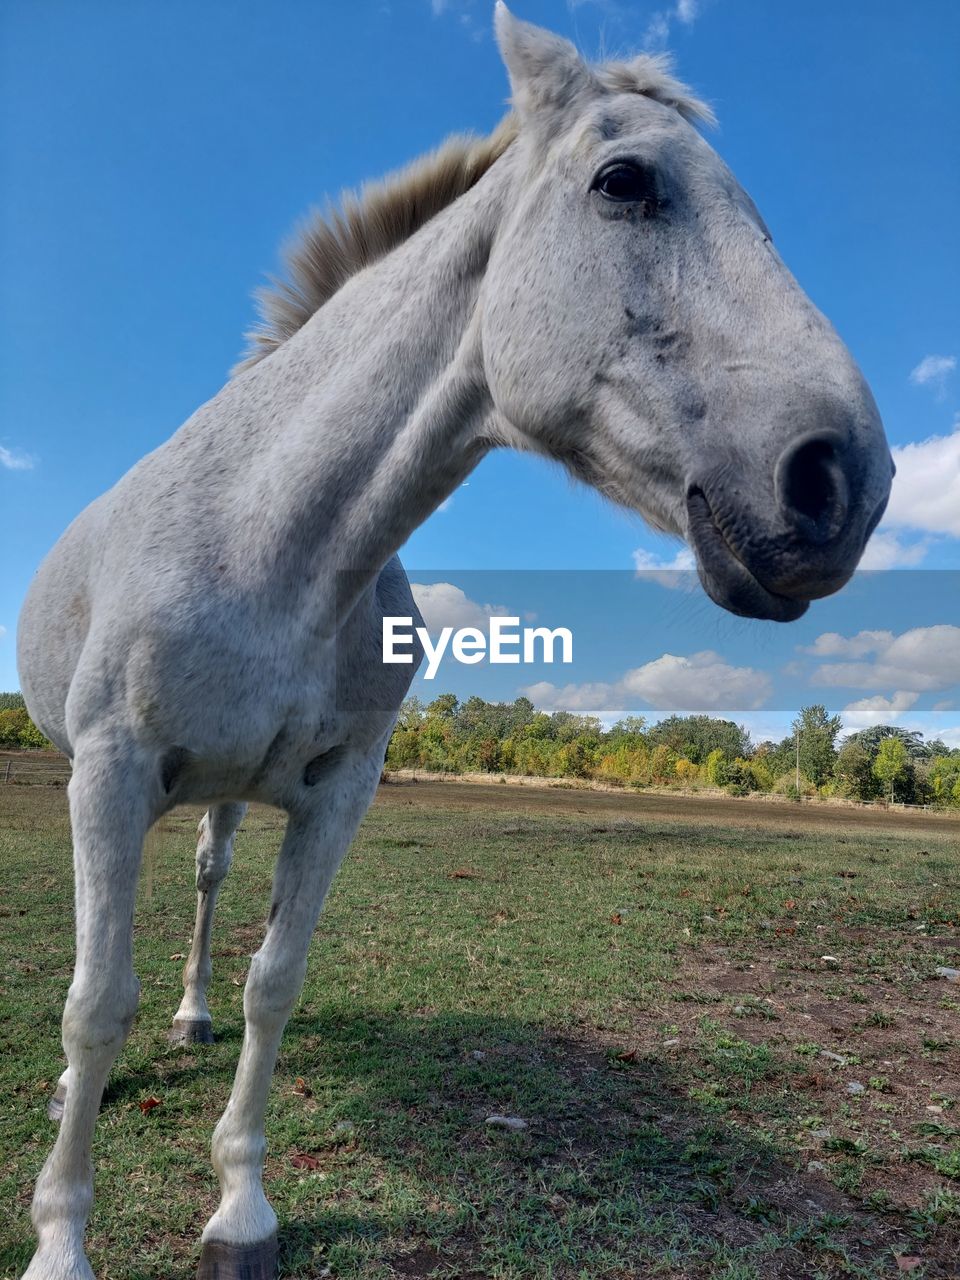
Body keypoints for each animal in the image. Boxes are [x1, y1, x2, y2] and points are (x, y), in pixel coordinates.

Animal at [15, 10, 896, 1280]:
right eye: (624, 182)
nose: (845, 481)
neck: (271, 543)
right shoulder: (110, 772)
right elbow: (92, 1005)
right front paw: (60, 1237)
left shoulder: (340, 791)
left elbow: (276, 981)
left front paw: (241, 1209)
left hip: (227, 795)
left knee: (209, 882)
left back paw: (191, 1014)